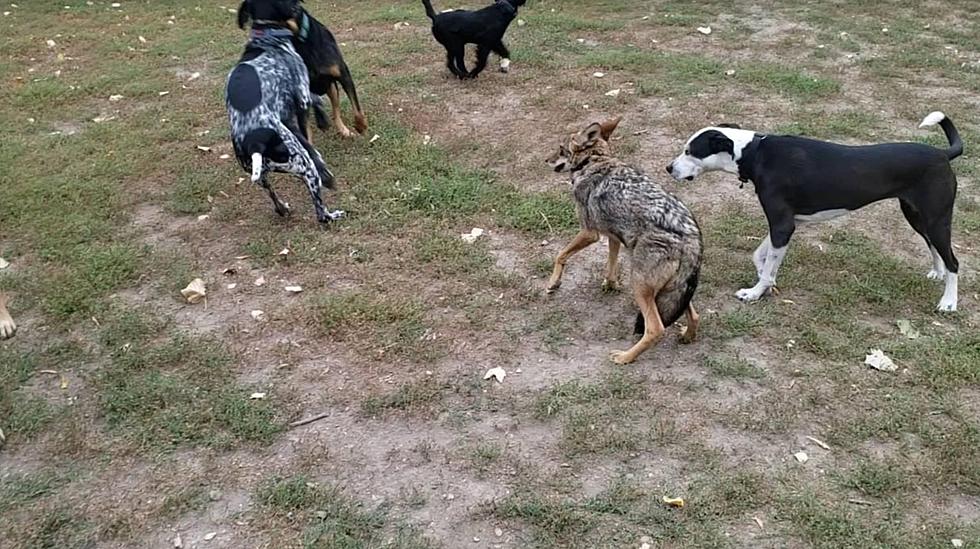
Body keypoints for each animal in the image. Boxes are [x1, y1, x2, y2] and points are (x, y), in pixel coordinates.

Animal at [227, 0, 344, 223]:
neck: (266, 38)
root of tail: (254, 142)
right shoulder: (302, 94)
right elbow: (316, 100)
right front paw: (323, 119)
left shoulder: (287, 115)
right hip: (304, 166)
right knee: (320, 212)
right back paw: (333, 212)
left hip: (262, 174)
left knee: (271, 193)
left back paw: (282, 208)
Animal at [239, 0, 370, 137]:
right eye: (251, 19)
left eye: (270, 25)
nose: (251, 45)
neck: (301, 43)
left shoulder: (343, 74)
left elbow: (356, 108)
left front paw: (361, 125)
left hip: (332, 88)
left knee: (336, 111)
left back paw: (342, 130)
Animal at [548, 116, 700, 364]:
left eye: (560, 149)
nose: (546, 160)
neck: (594, 160)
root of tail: (692, 238)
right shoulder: (614, 236)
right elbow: (611, 264)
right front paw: (610, 285)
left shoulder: (589, 232)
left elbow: (560, 255)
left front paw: (553, 283)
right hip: (673, 291)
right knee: (695, 315)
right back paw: (687, 337)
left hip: (639, 285)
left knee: (655, 328)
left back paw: (624, 357)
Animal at [668, 110, 960, 312]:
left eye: (689, 151)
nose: (669, 168)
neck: (756, 154)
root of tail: (942, 154)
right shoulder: (788, 224)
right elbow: (761, 256)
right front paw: (766, 280)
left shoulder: (782, 225)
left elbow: (768, 262)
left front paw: (755, 292)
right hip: (917, 216)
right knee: (934, 247)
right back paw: (937, 272)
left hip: (936, 219)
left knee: (954, 262)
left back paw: (948, 302)